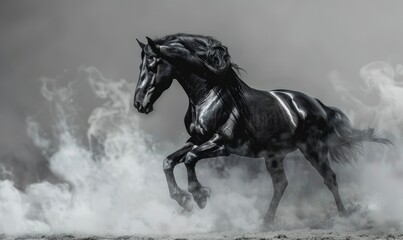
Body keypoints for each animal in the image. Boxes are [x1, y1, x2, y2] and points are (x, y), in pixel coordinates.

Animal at [134, 33, 390, 225]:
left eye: (153, 65)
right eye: (140, 66)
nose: (139, 104)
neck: (209, 96)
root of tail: (317, 104)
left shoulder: (221, 144)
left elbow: (189, 159)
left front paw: (199, 196)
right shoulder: (195, 139)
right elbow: (169, 161)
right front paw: (183, 199)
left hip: (313, 150)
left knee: (329, 178)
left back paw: (344, 216)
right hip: (274, 156)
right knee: (281, 184)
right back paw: (265, 223)